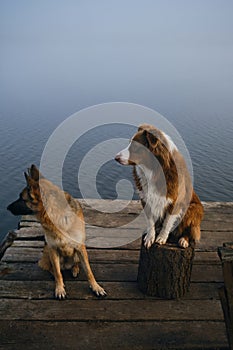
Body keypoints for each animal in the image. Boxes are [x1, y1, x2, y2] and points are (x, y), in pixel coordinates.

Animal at [7, 164, 106, 298]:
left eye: (22, 199)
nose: (7, 208)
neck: (56, 215)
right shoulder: (53, 249)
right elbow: (58, 273)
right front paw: (59, 289)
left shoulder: (80, 247)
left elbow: (89, 271)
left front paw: (96, 287)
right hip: (47, 252)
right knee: (53, 269)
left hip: (77, 254)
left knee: (76, 263)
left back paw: (75, 269)